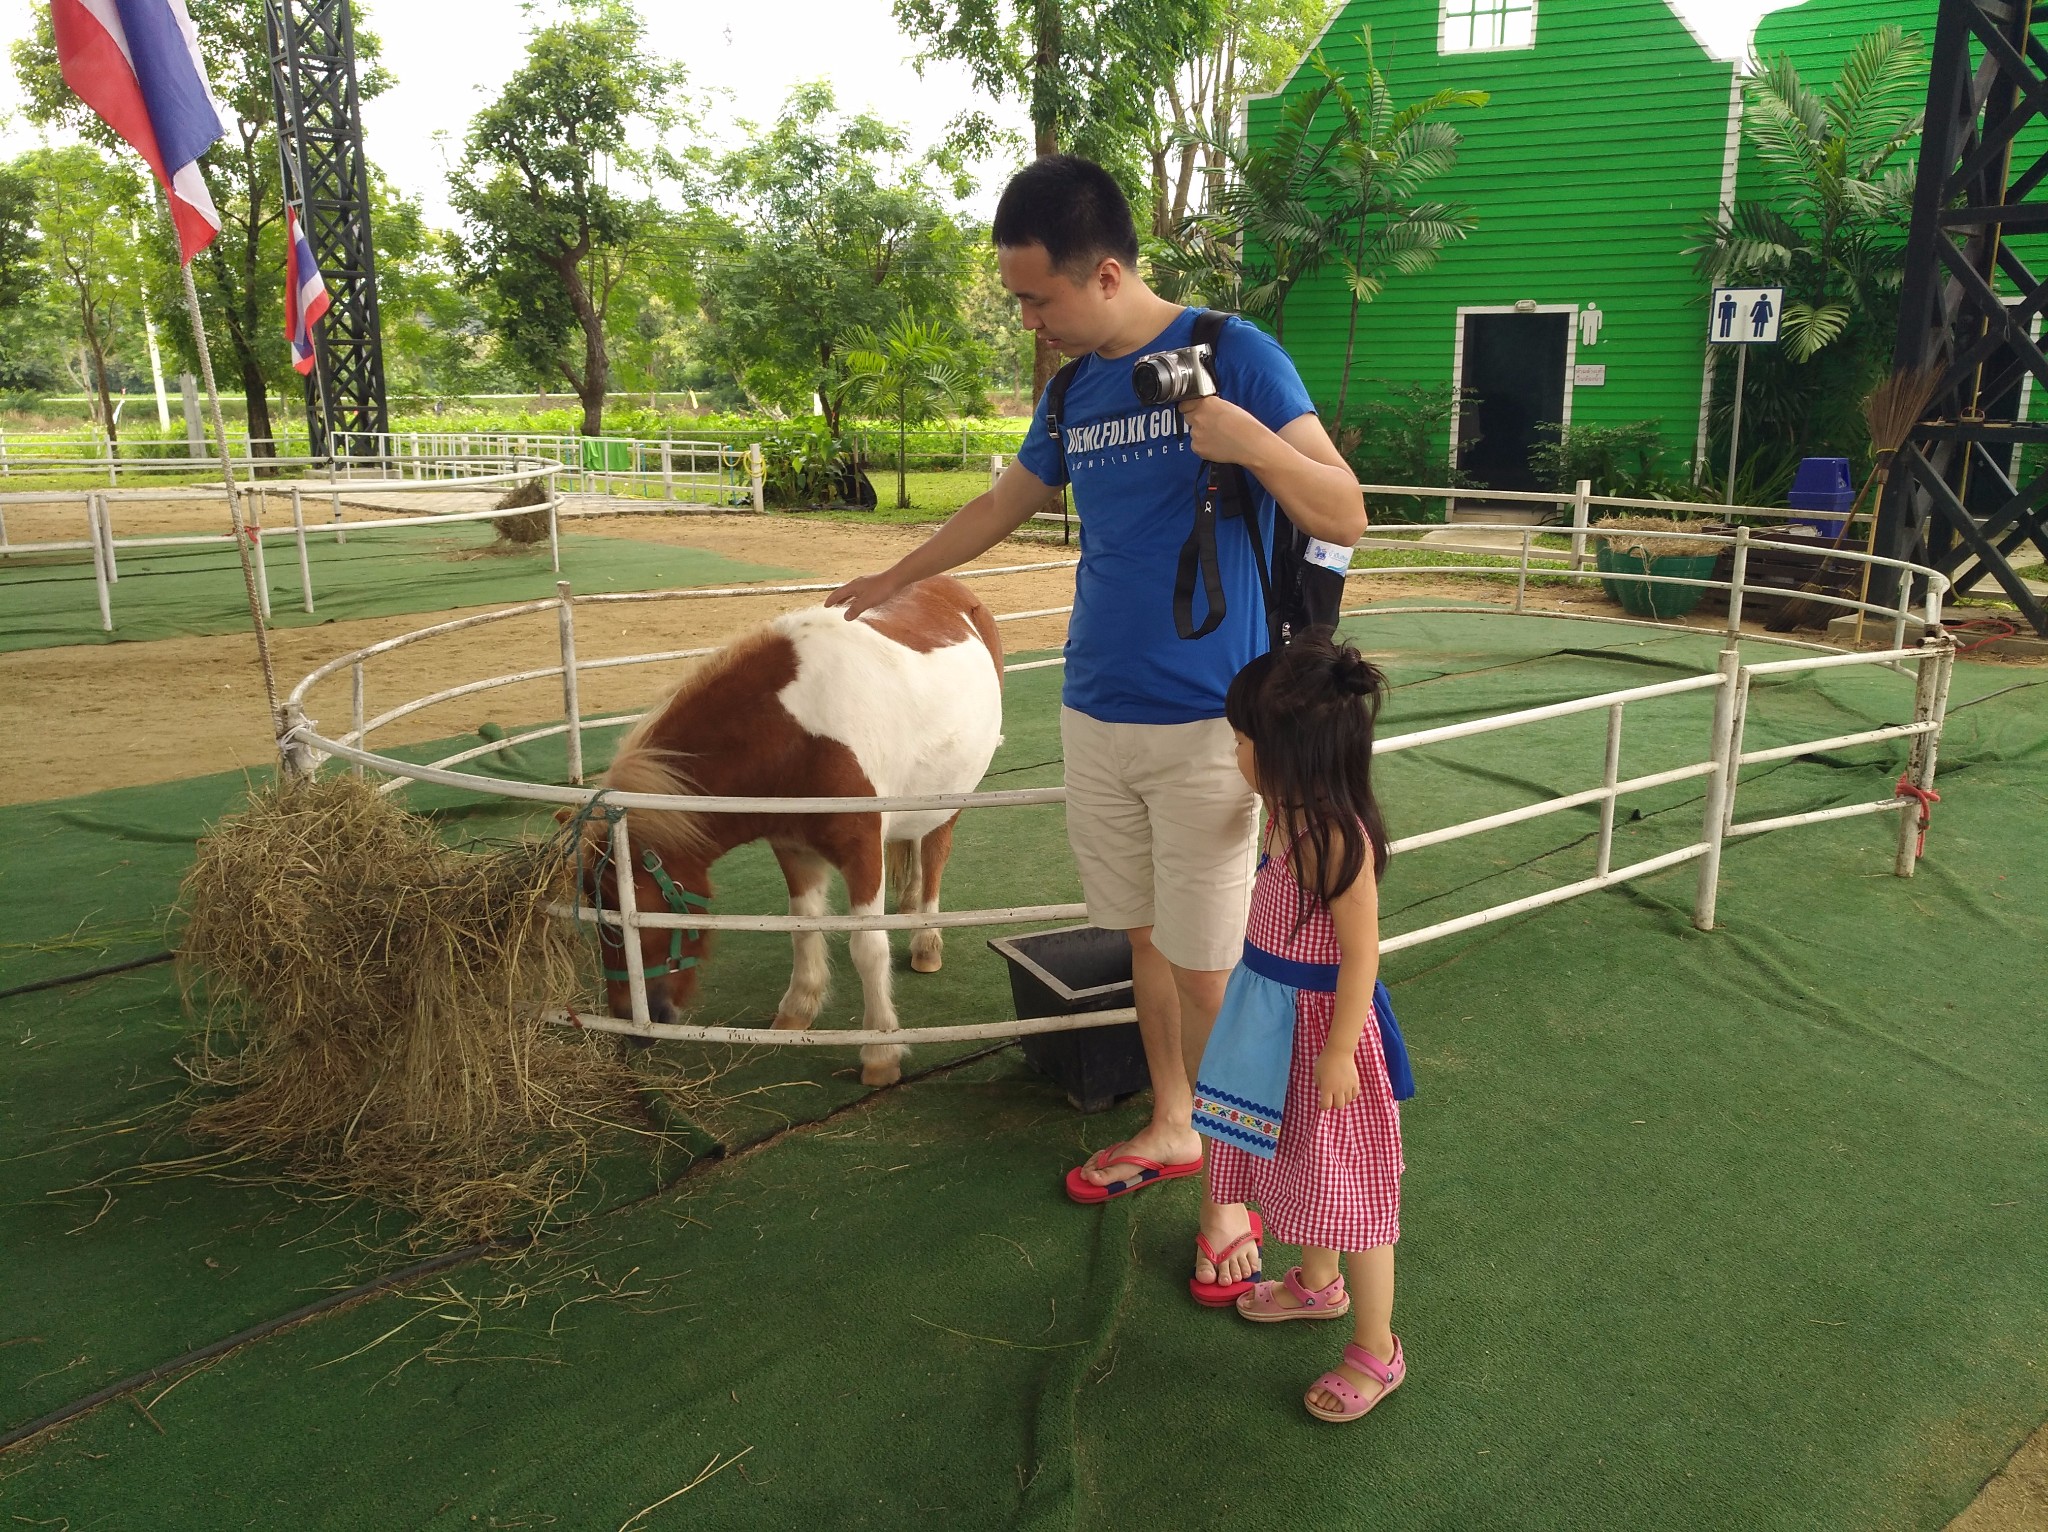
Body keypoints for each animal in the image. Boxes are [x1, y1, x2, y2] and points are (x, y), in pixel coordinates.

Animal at [573, 573, 1003, 1089]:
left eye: (633, 909)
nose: (632, 1024)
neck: (797, 735)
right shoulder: (793, 848)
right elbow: (803, 925)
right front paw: (799, 1008)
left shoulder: (863, 852)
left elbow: (868, 948)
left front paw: (880, 1052)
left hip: (952, 798)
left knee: (935, 854)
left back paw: (926, 940)